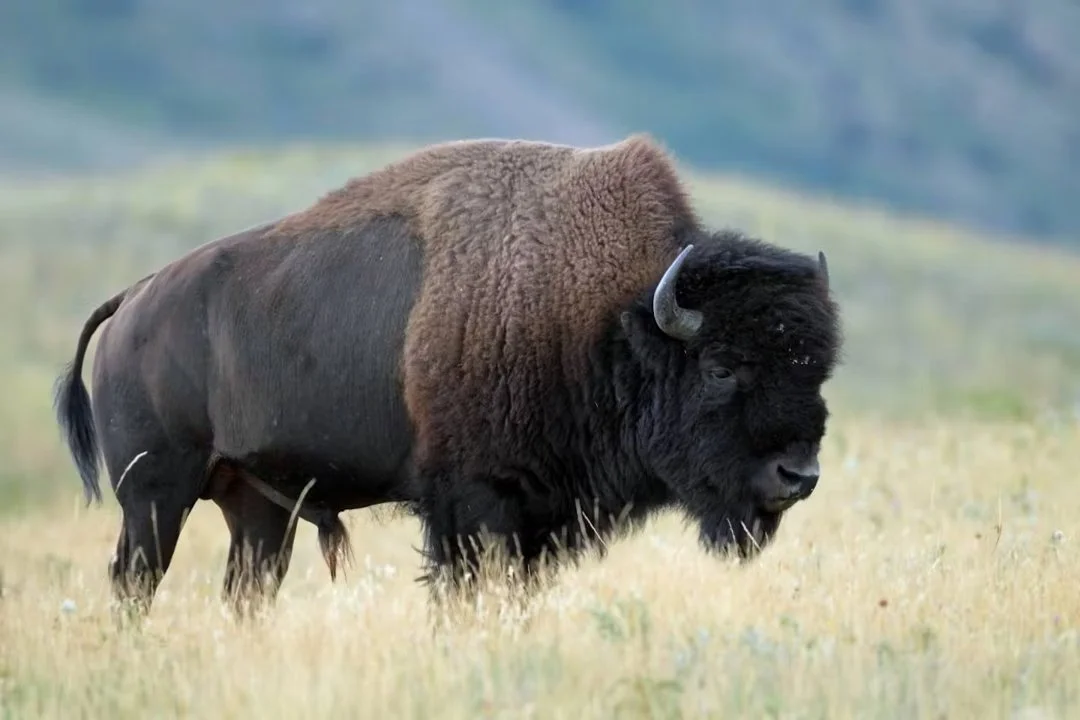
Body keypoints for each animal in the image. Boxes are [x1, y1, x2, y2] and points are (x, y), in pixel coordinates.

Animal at [53, 134, 842, 619]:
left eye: (820, 370)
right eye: (720, 366)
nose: (798, 476)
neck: (605, 318)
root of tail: (133, 299)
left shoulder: (537, 517)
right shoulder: (473, 504)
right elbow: (464, 589)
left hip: (255, 508)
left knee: (245, 590)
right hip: (156, 495)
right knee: (134, 583)